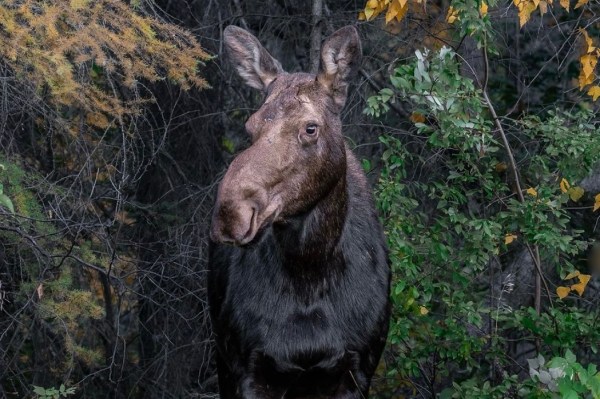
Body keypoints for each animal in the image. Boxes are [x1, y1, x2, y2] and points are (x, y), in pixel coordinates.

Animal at [209, 25, 392, 399]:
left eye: (310, 127)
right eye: (250, 127)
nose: (231, 213)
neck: (309, 270)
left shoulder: (355, 370)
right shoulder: (249, 368)